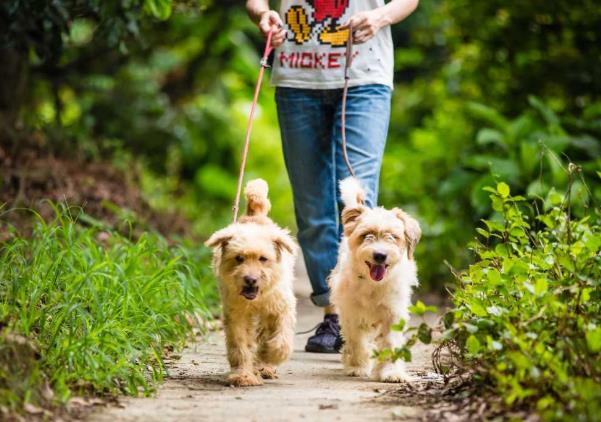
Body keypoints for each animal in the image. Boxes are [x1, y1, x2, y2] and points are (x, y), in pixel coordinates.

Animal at [205, 178, 296, 386]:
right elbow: (240, 345)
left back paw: (265, 365)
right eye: (239, 258)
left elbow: (282, 340)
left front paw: (268, 354)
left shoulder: (282, 307)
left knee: (266, 333)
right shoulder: (235, 314)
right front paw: (243, 375)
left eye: (263, 259)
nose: (250, 280)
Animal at [328, 176, 422, 384]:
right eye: (366, 235)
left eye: (393, 237)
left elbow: (390, 343)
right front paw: (357, 367)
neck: (373, 284)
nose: (380, 255)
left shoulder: (393, 314)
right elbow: (357, 341)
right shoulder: (352, 313)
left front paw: (391, 372)